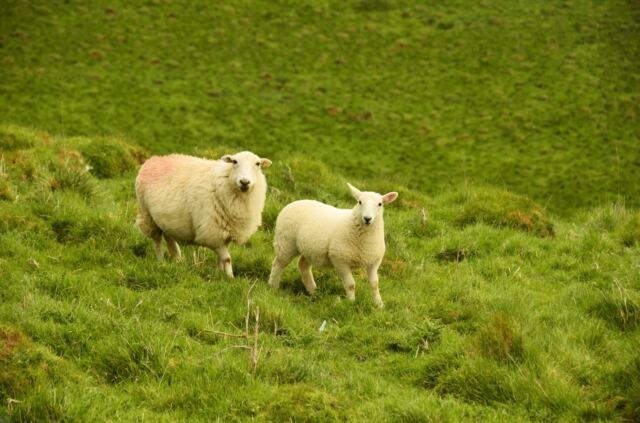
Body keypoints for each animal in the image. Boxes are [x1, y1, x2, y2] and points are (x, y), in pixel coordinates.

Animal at [135, 151, 272, 278]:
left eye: (258, 164)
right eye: (234, 162)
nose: (244, 182)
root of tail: (153, 159)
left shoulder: (225, 231)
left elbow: (221, 259)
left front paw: (219, 272)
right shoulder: (213, 233)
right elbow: (227, 259)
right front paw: (230, 278)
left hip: (165, 219)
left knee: (169, 238)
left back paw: (177, 260)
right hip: (147, 215)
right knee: (157, 241)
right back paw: (161, 261)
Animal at [268, 183, 398, 307]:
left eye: (380, 204)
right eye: (359, 202)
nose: (367, 218)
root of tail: (294, 202)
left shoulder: (373, 262)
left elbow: (374, 284)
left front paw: (379, 304)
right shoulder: (340, 260)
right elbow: (351, 284)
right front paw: (351, 302)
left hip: (310, 250)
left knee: (303, 265)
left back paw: (313, 291)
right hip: (286, 243)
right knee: (278, 264)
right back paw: (273, 287)